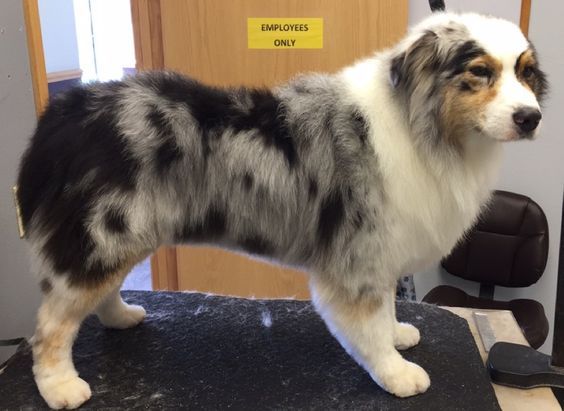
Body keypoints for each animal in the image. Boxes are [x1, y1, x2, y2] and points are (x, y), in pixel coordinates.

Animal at [17, 11, 548, 410]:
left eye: (525, 72)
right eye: (479, 71)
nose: (531, 118)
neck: (426, 126)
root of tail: (69, 109)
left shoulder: (380, 251)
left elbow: (386, 311)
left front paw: (397, 333)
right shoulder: (358, 254)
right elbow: (368, 326)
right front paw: (396, 373)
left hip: (120, 233)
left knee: (98, 293)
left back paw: (121, 316)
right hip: (105, 233)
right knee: (49, 327)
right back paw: (60, 386)